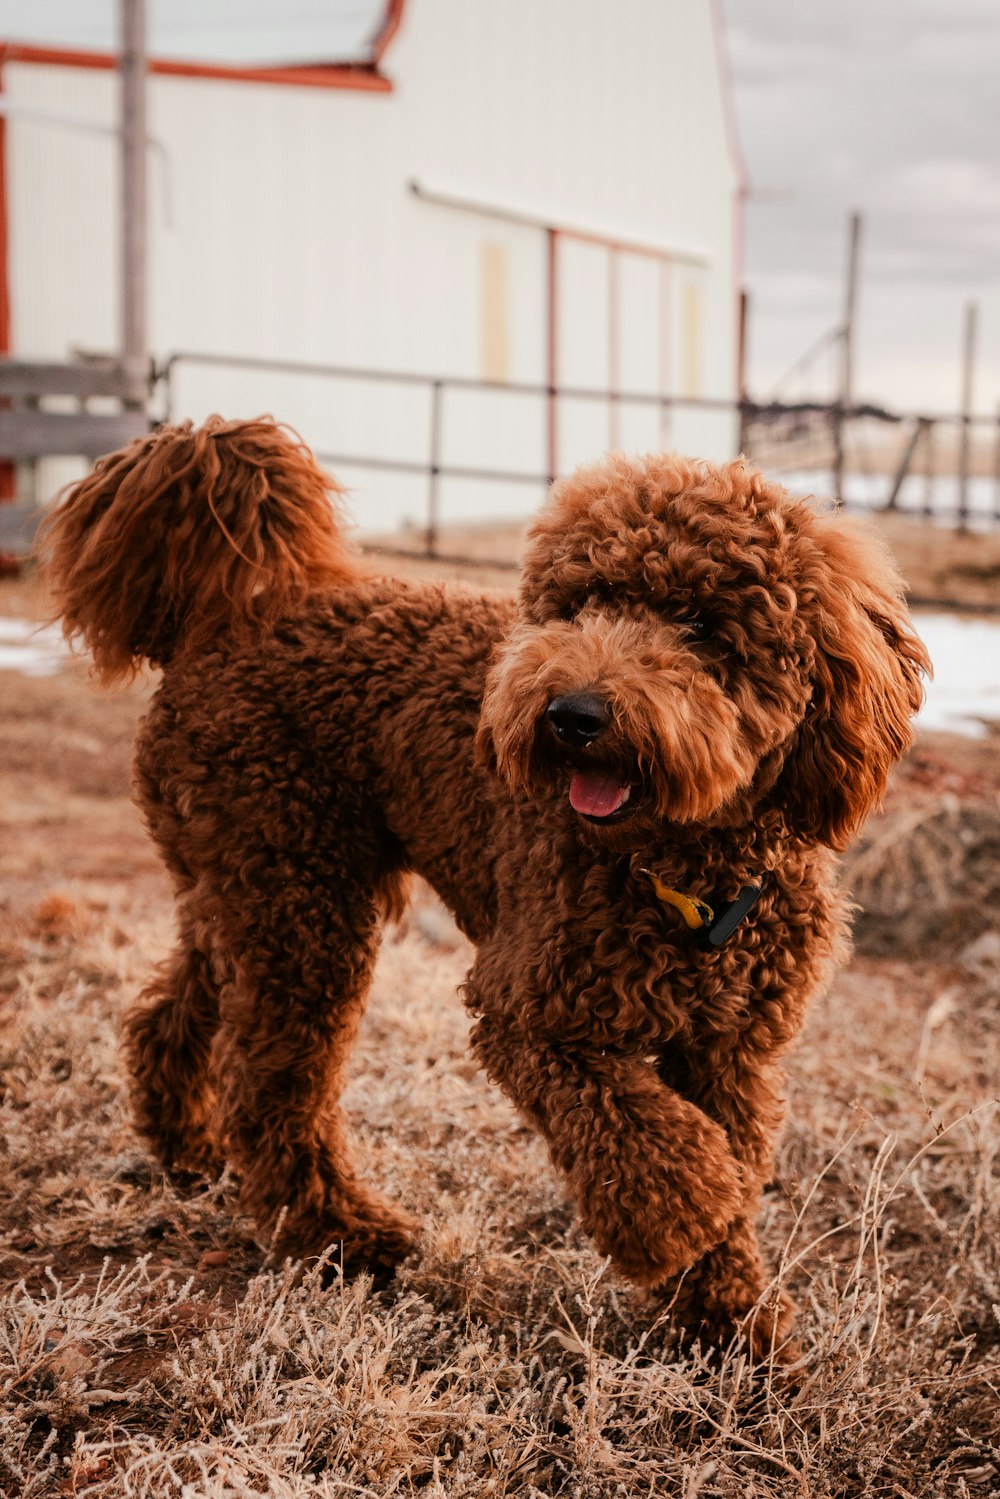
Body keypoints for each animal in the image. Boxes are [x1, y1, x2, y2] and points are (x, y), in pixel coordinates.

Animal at [43, 416, 929, 1355]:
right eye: (581, 605)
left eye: (698, 622)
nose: (573, 716)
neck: (685, 875)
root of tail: (230, 614)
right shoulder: (531, 1011)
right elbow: (647, 1139)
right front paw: (683, 1221)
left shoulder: (732, 1046)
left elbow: (722, 1145)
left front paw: (731, 1328)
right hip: (299, 897)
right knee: (273, 1087)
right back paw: (341, 1234)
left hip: (247, 884)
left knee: (174, 1008)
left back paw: (186, 1147)